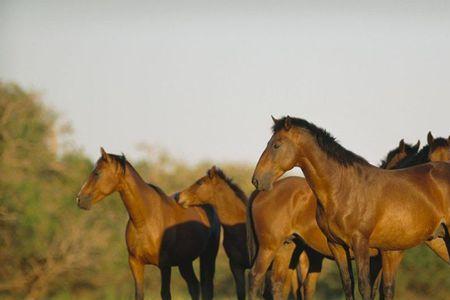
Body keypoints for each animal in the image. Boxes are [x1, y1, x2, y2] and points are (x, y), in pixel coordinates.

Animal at [78, 148, 221, 300]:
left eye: (97, 173)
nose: (80, 199)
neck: (146, 220)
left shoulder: (165, 265)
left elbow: (165, 293)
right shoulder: (135, 263)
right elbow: (139, 294)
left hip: (208, 255)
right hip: (185, 262)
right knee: (194, 286)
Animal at [251, 115, 450, 300]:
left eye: (276, 145)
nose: (257, 179)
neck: (343, 187)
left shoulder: (366, 246)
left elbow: (366, 287)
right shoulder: (338, 246)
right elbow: (349, 284)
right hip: (276, 247)